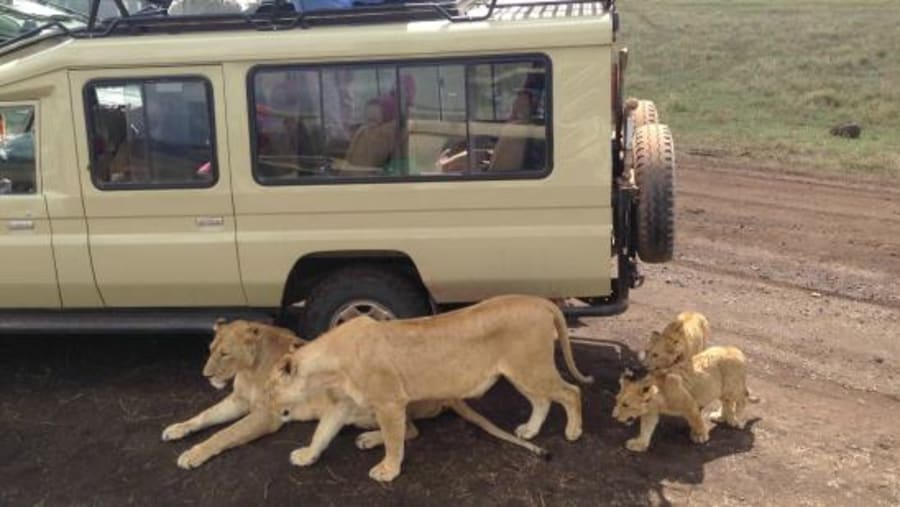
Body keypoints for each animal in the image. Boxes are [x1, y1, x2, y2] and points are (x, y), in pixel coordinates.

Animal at [162, 319, 546, 469]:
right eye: (210, 350)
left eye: (225, 353)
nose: (206, 374)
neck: (251, 367)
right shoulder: (238, 401)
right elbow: (203, 417)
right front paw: (177, 429)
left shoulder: (267, 415)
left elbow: (223, 435)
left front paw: (193, 454)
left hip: (371, 403)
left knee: (409, 430)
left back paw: (370, 439)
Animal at [268, 294, 594, 482]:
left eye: (270, 388)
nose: (266, 406)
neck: (330, 367)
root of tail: (541, 301)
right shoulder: (343, 404)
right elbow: (322, 432)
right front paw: (307, 456)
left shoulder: (390, 402)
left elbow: (395, 440)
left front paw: (388, 470)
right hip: (519, 372)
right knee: (542, 400)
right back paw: (530, 431)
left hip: (531, 367)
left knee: (571, 393)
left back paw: (573, 432)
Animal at [613, 345, 756, 452]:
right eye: (617, 401)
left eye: (626, 405)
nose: (614, 417)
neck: (658, 398)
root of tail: (736, 350)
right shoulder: (650, 413)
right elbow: (646, 428)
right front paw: (639, 444)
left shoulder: (689, 404)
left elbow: (696, 420)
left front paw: (701, 436)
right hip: (722, 390)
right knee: (727, 401)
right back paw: (722, 416)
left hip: (733, 387)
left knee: (742, 399)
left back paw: (738, 420)